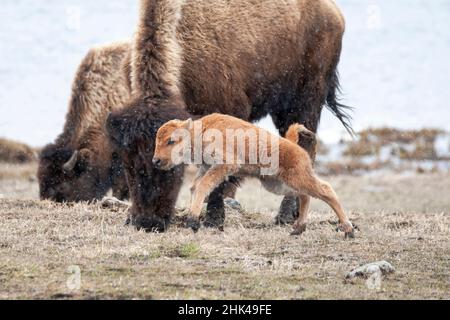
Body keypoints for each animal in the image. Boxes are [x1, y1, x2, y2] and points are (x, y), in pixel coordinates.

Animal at [107, 0, 354, 231]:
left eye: (172, 167)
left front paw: (212, 220)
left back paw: (285, 215)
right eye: (127, 161)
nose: (147, 222)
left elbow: (219, 179)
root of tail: (334, 13)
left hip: (304, 101)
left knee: (304, 150)